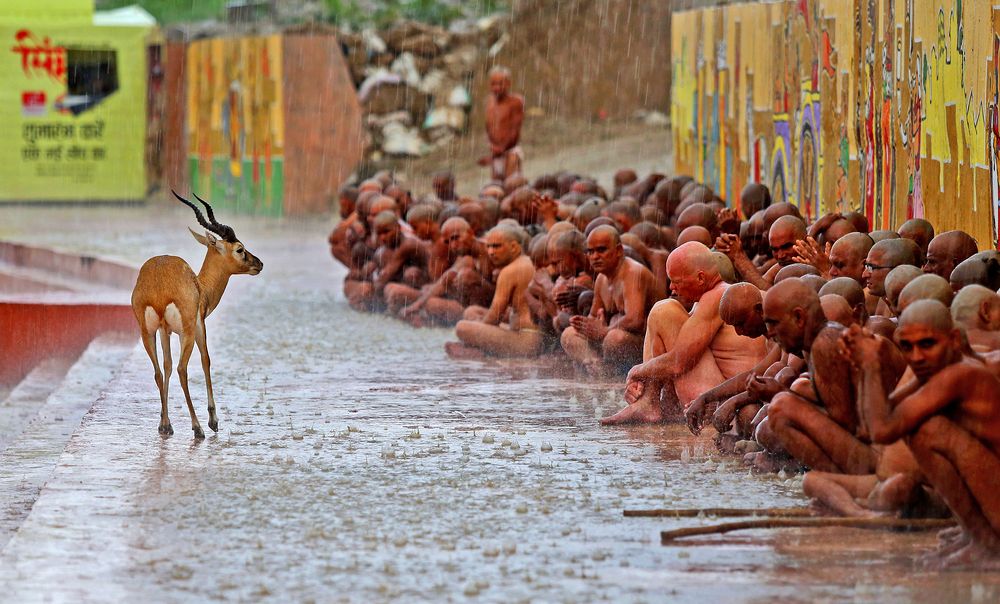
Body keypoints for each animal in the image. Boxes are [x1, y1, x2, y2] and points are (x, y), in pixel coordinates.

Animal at [131, 191, 263, 438]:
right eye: (240, 249)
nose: (258, 263)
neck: (201, 287)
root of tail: (158, 288)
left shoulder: (165, 332)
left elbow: (166, 366)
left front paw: (164, 423)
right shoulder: (200, 326)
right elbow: (206, 360)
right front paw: (213, 420)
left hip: (147, 333)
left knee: (159, 371)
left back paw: (167, 425)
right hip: (187, 333)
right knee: (182, 369)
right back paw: (198, 427)